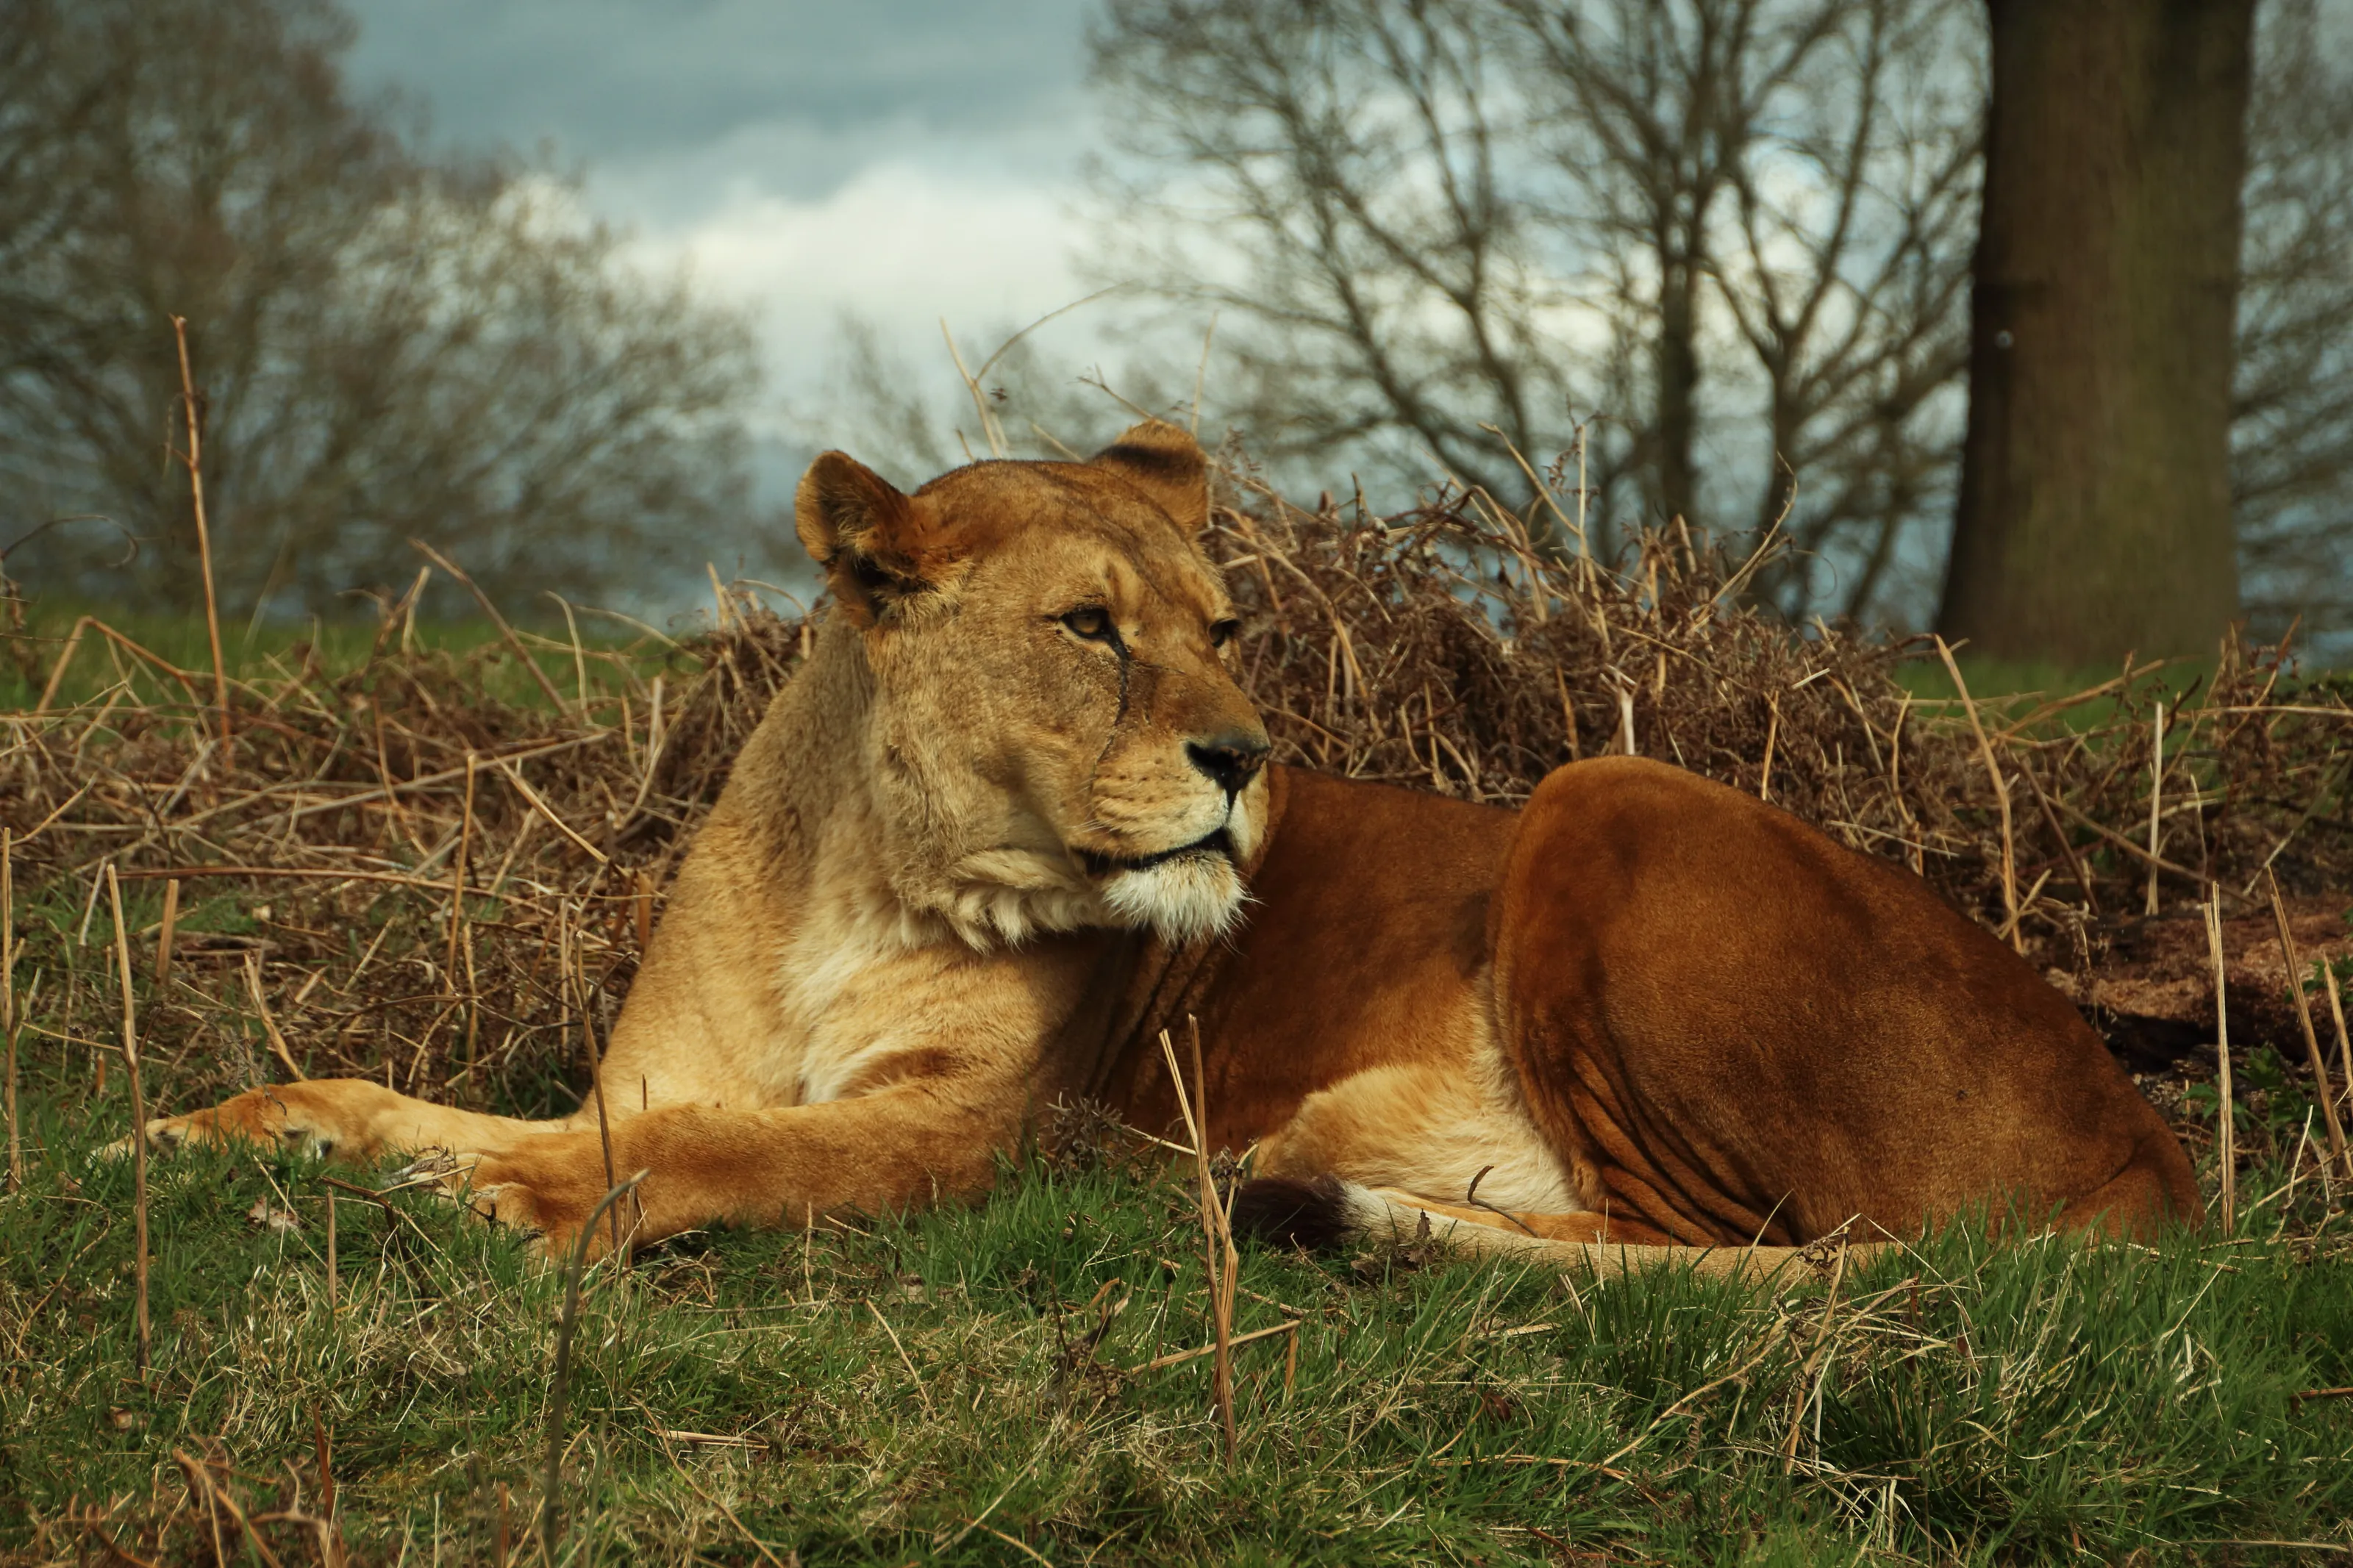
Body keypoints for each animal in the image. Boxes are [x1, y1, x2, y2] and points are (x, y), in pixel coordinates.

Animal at [136, 420, 2202, 1273]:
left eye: (1226, 624)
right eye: (1088, 629)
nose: (1247, 751)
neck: (856, 877)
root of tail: (2151, 1145)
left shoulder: (978, 1137)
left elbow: (715, 1148)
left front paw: (521, 1199)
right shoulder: (635, 1073)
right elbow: (391, 1095)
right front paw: (200, 1139)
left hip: (1599, 794)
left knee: (1787, 1256)